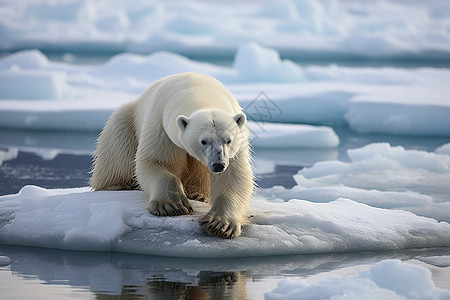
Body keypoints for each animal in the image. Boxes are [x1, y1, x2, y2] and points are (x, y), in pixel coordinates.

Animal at [89, 72, 255, 239]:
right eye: (203, 141)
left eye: (228, 140)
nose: (218, 165)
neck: (200, 90)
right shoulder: (160, 124)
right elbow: (154, 161)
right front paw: (172, 205)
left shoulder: (237, 144)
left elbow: (233, 175)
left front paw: (220, 224)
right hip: (127, 120)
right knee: (117, 147)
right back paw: (117, 185)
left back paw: (198, 195)